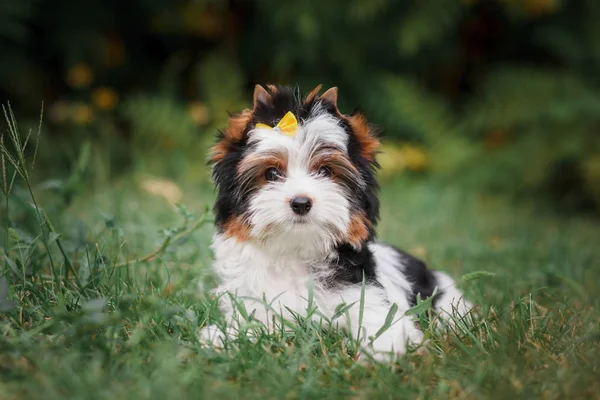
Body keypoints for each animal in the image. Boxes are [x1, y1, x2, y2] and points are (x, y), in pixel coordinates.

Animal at [202, 85, 474, 360]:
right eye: (271, 173)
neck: (296, 252)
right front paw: (223, 337)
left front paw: (380, 351)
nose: (301, 202)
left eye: (325, 171)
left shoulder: (365, 294)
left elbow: (378, 320)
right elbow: (254, 323)